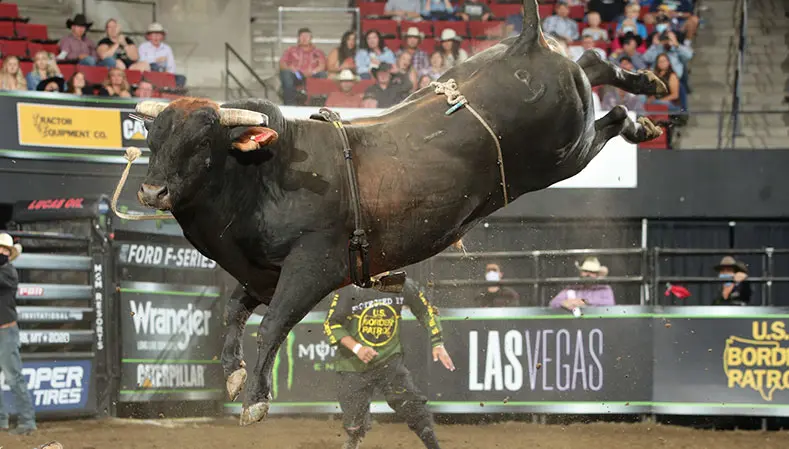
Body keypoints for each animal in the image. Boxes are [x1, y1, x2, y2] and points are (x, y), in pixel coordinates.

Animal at [123, 0, 665, 426]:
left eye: (202, 142)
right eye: (153, 138)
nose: (151, 190)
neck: (264, 172)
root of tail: (524, 46)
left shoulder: (311, 268)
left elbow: (272, 324)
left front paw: (256, 400)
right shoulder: (261, 273)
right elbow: (233, 315)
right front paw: (235, 376)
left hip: (566, 152)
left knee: (611, 116)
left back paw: (641, 121)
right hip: (566, 116)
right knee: (591, 61)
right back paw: (647, 80)